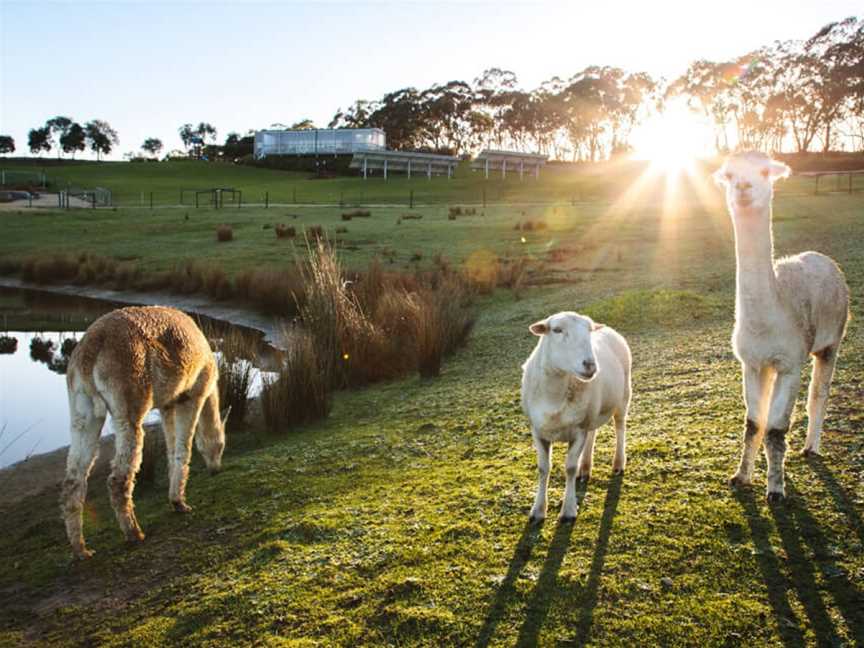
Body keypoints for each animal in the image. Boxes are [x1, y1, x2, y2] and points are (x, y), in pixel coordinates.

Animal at [520, 310, 636, 520]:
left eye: (589, 331)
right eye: (557, 330)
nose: (590, 365)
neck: (554, 397)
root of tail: (608, 327)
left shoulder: (578, 430)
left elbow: (570, 468)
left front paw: (568, 510)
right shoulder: (538, 430)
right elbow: (543, 468)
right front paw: (538, 510)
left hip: (624, 395)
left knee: (620, 427)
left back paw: (618, 463)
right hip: (591, 410)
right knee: (593, 433)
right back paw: (585, 468)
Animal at [716, 152, 852, 502]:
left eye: (764, 171)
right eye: (730, 174)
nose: (744, 186)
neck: (767, 322)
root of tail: (820, 257)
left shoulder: (790, 362)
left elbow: (776, 429)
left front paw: (776, 489)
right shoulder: (752, 363)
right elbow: (754, 423)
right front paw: (741, 476)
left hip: (833, 339)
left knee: (819, 393)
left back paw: (811, 447)